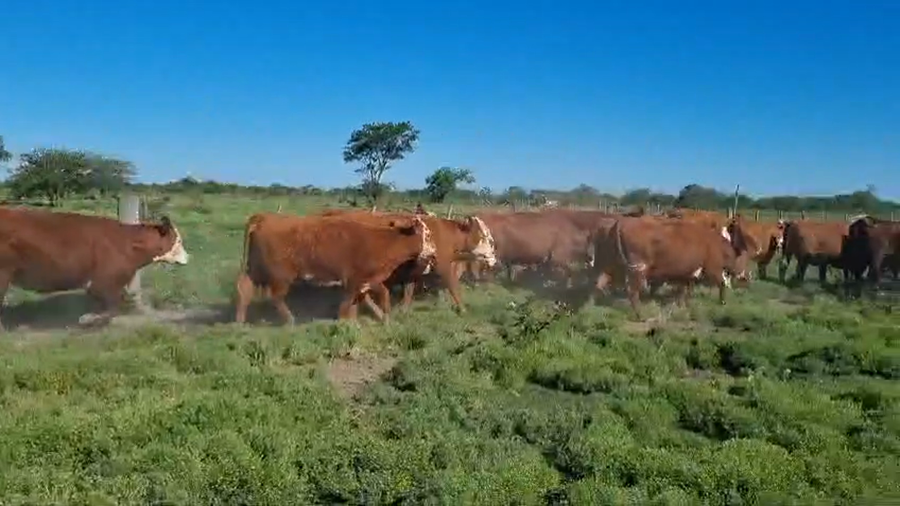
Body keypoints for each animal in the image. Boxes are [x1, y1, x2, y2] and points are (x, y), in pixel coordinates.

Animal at [0, 207, 189, 330]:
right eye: (178, 240)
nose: (188, 257)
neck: (128, 243)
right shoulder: (105, 282)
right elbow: (113, 308)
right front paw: (88, 320)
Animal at [234, 212, 437, 325]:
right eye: (427, 234)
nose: (435, 252)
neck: (381, 242)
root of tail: (264, 217)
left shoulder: (367, 280)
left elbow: (371, 297)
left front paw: (380, 317)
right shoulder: (354, 280)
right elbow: (349, 302)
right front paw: (343, 320)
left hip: (256, 269)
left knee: (245, 289)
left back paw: (239, 321)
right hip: (281, 276)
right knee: (275, 296)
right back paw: (290, 320)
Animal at [315, 209, 496, 312]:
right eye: (485, 236)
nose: (494, 259)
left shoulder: (416, 269)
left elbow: (409, 289)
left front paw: (403, 309)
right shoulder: (443, 266)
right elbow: (453, 287)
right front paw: (463, 309)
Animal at [587, 216, 752, 318]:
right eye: (743, 258)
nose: (745, 276)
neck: (716, 244)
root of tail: (621, 222)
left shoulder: (687, 273)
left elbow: (685, 290)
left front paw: (683, 305)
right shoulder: (713, 270)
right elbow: (722, 285)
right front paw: (722, 302)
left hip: (611, 265)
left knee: (598, 284)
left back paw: (589, 308)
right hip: (637, 269)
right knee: (632, 292)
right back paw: (640, 314)